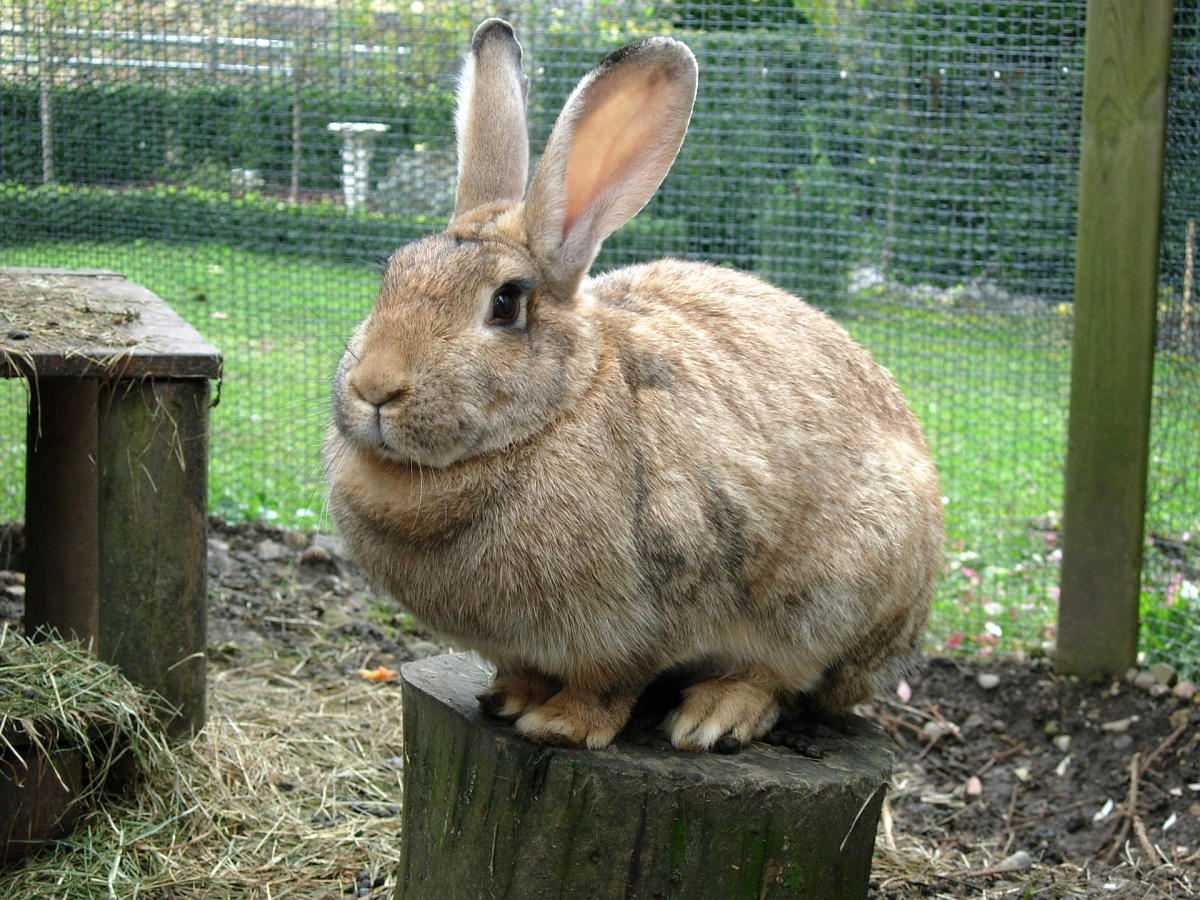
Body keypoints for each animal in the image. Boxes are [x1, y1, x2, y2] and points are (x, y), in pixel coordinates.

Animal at [324, 18, 944, 752]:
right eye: (392, 273)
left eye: (505, 304)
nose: (375, 388)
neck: (560, 407)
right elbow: (524, 667)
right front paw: (511, 697)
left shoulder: (649, 612)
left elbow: (612, 682)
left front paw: (559, 723)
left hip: (831, 600)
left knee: (781, 674)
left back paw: (713, 717)